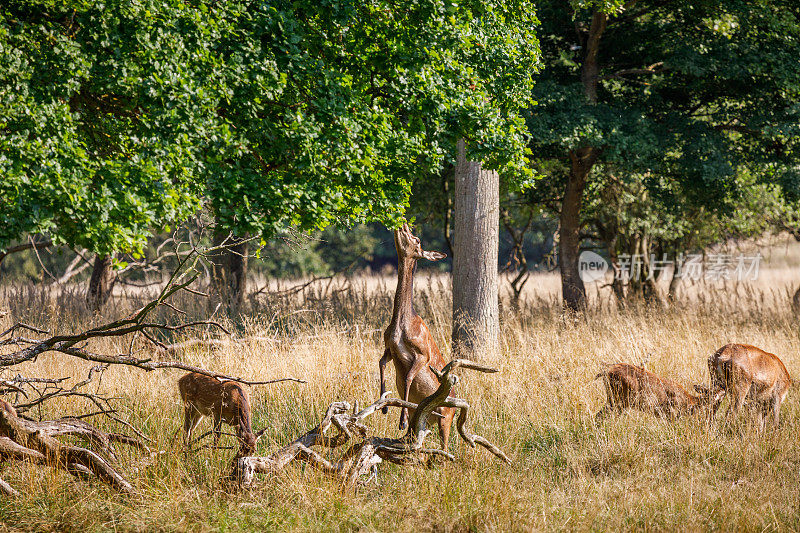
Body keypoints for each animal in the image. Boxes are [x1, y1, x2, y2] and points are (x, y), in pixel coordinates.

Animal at [380, 222, 456, 446]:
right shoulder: (388, 349)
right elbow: (380, 365)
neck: (400, 327)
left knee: (447, 445)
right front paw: (385, 406)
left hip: (446, 418)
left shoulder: (423, 353)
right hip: (426, 422)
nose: (403, 224)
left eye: (418, 239)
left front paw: (402, 420)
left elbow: (407, 378)